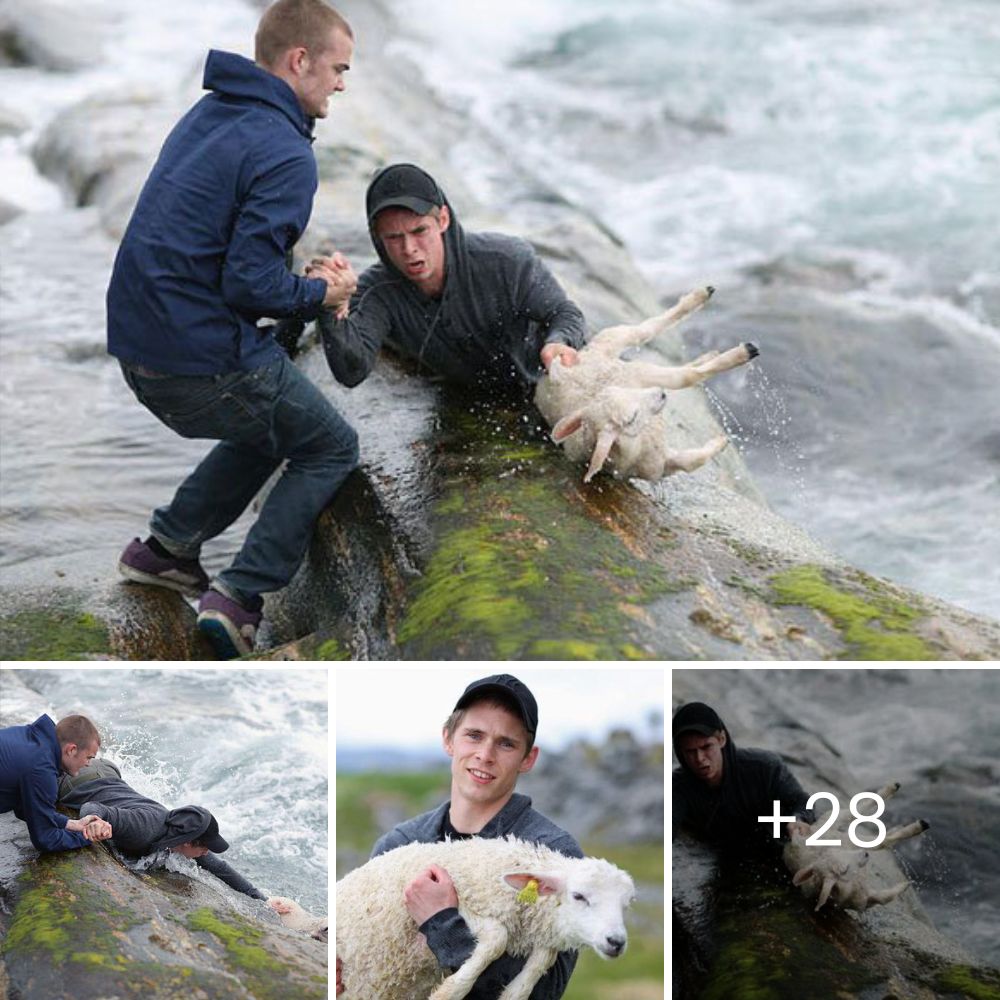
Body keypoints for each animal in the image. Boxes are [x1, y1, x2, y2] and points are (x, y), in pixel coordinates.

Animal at [336, 836, 632, 1000]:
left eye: (626, 905)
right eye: (579, 896)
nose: (616, 942)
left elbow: (544, 959)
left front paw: (514, 992)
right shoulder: (464, 901)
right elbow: (497, 938)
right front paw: (449, 992)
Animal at [536, 286, 752, 484]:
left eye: (618, 389)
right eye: (631, 418)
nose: (662, 394)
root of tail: (557, 371)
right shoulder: (662, 464)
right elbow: (691, 462)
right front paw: (722, 441)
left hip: (615, 346)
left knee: (646, 329)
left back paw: (701, 298)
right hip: (631, 364)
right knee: (682, 371)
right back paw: (740, 352)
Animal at [784, 780, 932, 916]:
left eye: (840, 855)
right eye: (844, 870)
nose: (865, 854)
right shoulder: (865, 899)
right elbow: (884, 898)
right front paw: (906, 884)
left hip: (833, 828)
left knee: (855, 812)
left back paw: (893, 790)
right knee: (868, 828)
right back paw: (915, 823)